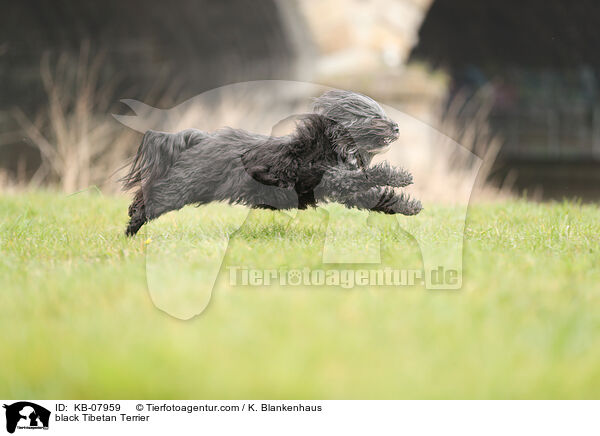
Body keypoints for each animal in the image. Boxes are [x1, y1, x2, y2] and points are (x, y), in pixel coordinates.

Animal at [122, 88, 422, 235]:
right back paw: (131, 228)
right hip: (186, 185)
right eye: (375, 117)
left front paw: (409, 206)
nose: (397, 127)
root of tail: (197, 138)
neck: (329, 142)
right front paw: (400, 176)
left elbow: (377, 198)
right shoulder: (331, 178)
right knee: (154, 195)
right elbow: (367, 177)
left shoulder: (346, 191)